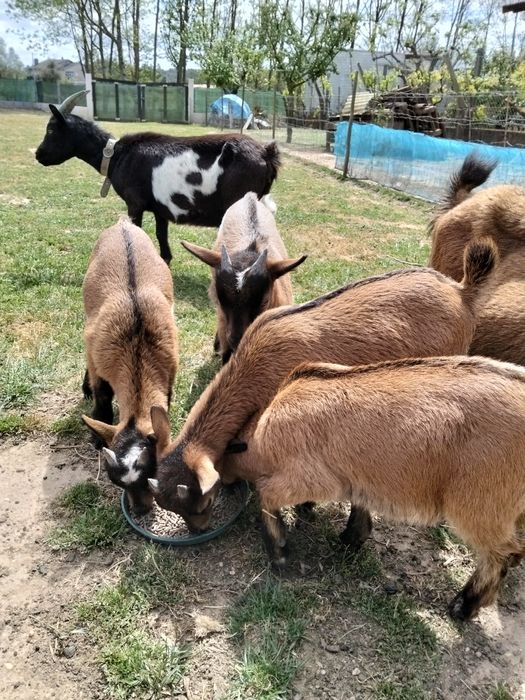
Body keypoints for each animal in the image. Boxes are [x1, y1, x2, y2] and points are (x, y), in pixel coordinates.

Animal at [35, 91, 281, 265]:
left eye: (51, 130)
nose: (38, 154)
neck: (116, 155)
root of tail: (266, 153)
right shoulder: (161, 208)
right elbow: (161, 234)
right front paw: (165, 260)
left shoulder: (134, 204)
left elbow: (137, 231)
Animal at [81, 218, 178, 514]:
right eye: (115, 482)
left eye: (151, 474)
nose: (140, 509)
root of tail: (123, 223)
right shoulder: (97, 354)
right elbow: (102, 394)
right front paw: (97, 434)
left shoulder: (171, 368)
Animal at [219, 355, 525, 621]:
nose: (224, 486)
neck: (264, 430)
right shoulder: (357, 478)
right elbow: (360, 506)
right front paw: (351, 537)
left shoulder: (313, 478)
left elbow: (266, 495)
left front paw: (279, 552)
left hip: (478, 505)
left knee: (503, 554)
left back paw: (465, 605)